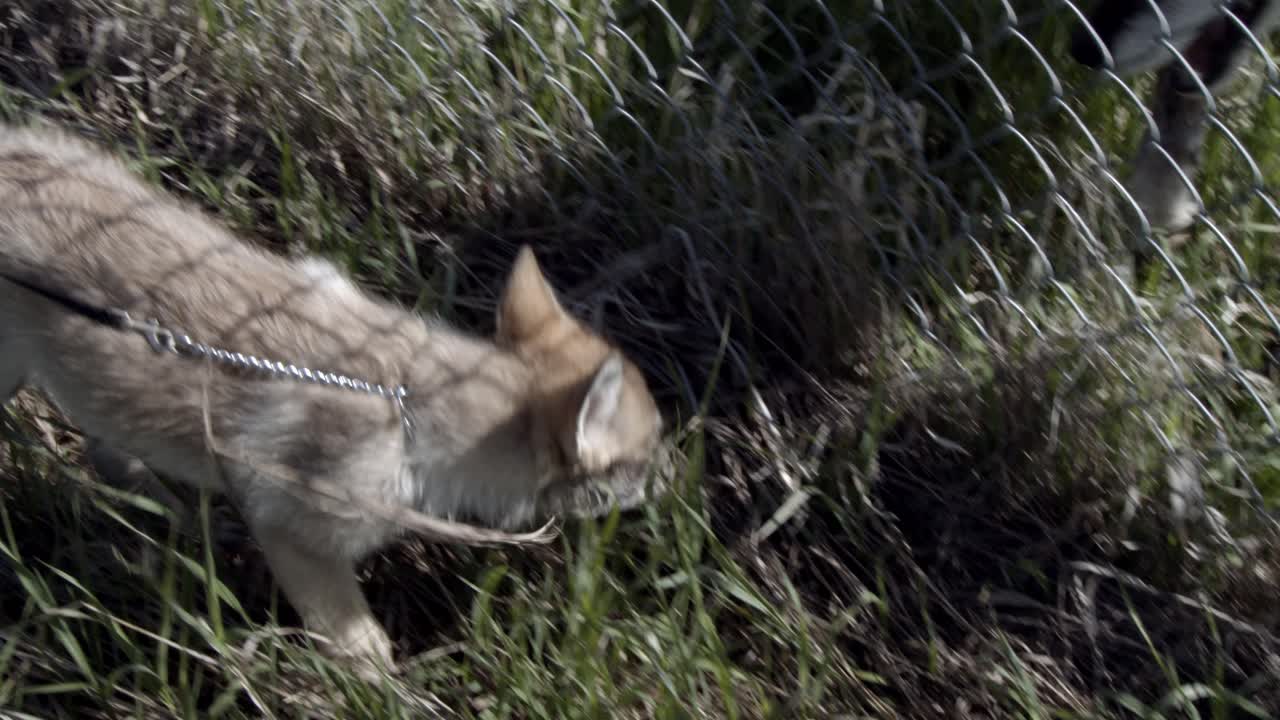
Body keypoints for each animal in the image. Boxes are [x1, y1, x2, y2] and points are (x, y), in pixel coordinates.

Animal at [0, 122, 668, 675]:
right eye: (650, 452)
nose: (673, 479)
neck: (406, 407)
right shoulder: (297, 539)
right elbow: (362, 649)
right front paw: (386, 693)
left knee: (110, 451)